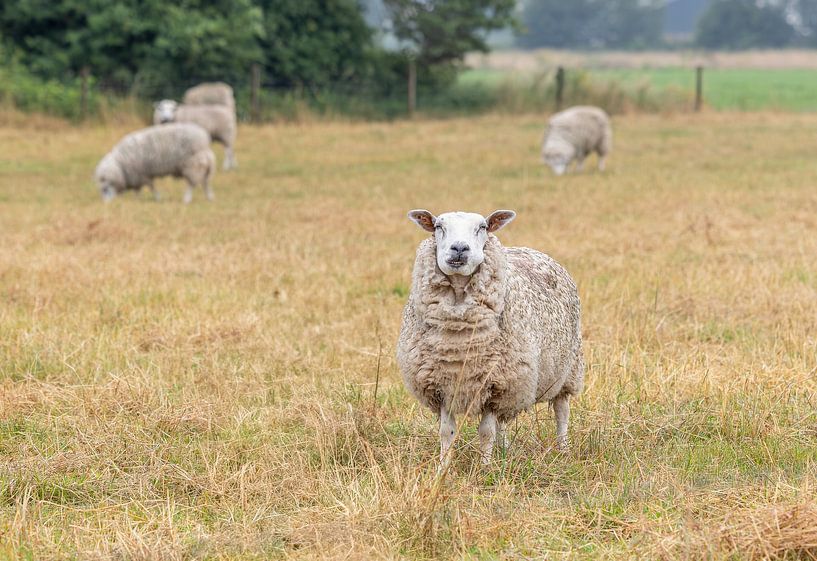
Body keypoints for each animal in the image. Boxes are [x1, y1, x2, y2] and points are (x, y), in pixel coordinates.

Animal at [397, 209, 584, 467]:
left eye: (482, 227)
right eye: (438, 226)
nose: (459, 248)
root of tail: (534, 251)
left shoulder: (496, 384)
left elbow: (485, 431)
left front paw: (485, 466)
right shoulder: (442, 386)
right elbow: (447, 431)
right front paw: (443, 467)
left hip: (567, 371)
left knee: (561, 411)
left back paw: (563, 449)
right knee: (503, 423)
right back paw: (504, 450)